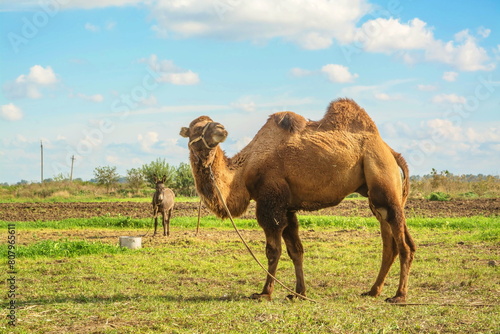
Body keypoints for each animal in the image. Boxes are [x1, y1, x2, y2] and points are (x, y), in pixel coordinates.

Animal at [179, 97, 414, 302]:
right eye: (197, 128)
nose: (221, 128)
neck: (243, 172)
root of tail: (391, 151)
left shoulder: (271, 202)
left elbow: (273, 251)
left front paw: (264, 293)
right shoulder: (287, 207)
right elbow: (296, 251)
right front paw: (299, 293)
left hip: (382, 175)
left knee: (404, 245)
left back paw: (399, 296)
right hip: (377, 194)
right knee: (391, 243)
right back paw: (373, 291)